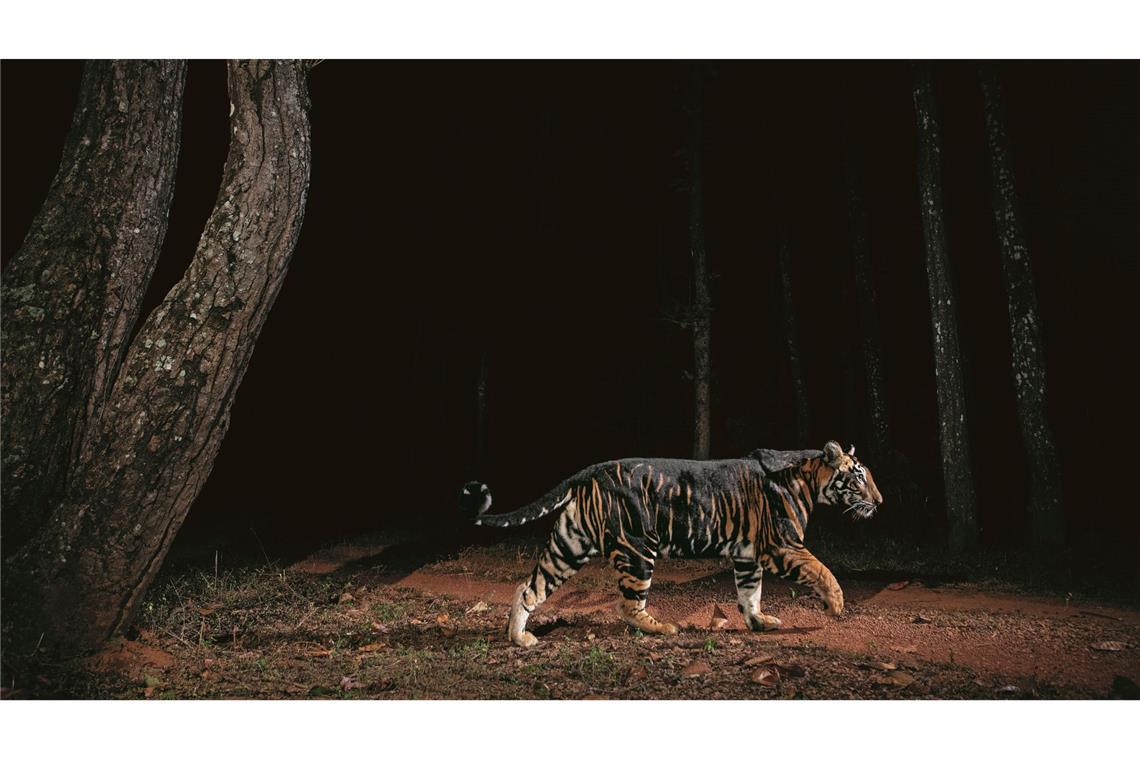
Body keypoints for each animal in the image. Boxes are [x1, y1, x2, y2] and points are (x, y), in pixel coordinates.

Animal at [458, 439, 884, 647]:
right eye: (859, 477)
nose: (880, 502)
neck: (810, 479)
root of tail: (592, 470)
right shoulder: (781, 545)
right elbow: (822, 570)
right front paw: (836, 606)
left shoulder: (748, 556)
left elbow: (750, 594)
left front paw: (758, 623)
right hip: (637, 550)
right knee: (628, 605)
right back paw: (663, 628)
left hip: (569, 545)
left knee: (529, 588)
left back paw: (519, 638)